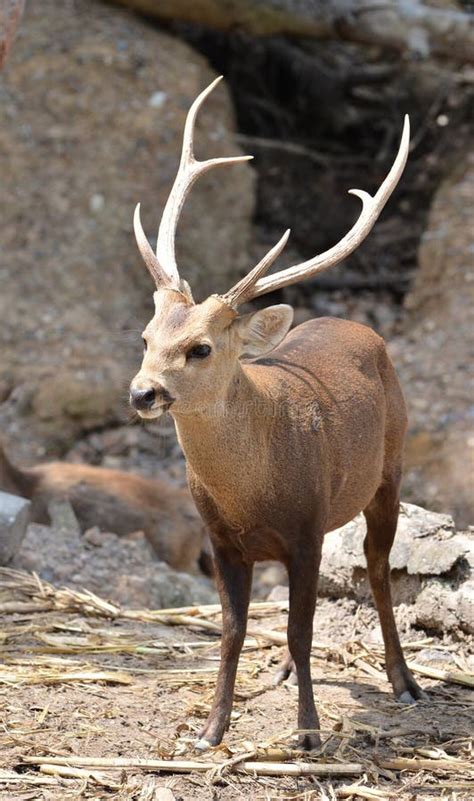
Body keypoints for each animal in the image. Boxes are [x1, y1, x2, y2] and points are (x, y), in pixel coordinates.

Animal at [130, 76, 426, 752]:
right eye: (146, 336)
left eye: (201, 348)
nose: (142, 393)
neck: (253, 492)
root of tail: (355, 324)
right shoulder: (221, 539)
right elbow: (234, 631)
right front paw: (211, 730)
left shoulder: (306, 528)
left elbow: (302, 625)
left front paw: (309, 732)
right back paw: (289, 673)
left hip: (390, 468)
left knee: (377, 570)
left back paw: (404, 681)